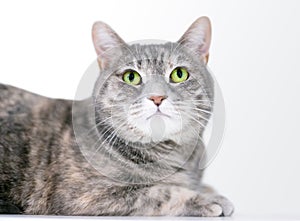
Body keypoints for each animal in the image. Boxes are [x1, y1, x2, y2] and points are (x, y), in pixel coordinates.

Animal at [0, 16, 233, 216]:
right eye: (131, 77)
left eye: (179, 74)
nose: (157, 97)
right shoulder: (86, 194)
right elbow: (161, 192)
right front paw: (208, 199)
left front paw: (209, 191)